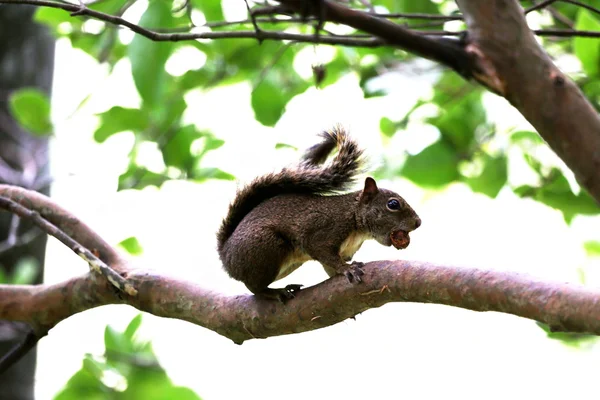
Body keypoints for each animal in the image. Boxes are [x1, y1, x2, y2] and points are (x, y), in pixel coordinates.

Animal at [217, 126, 422, 302]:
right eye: (393, 204)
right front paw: (347, 269)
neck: (354, 219)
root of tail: (225, 254)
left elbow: (329, 267)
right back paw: (275, 292)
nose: (418, 222)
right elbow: (323, 252)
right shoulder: (324, 230)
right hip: (267, 246)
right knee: (254, 288)